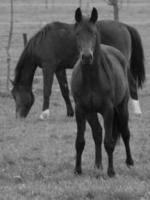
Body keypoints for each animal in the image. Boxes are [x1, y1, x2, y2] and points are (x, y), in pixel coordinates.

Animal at [11, 16, 145, 119]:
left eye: (16, 95)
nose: (18, 116)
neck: (42, 42)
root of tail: (124, 26)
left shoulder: (48, 67)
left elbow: (47, 90)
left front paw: (44, 114)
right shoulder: (59, 69)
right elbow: (64, 91)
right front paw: (70, 113)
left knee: (132, 84)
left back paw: (137, 112)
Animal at [71, 7, 134, 177]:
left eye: (93, 33)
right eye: (77, 33)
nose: (86, 57)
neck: (92, 79)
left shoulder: (108, 110)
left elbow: (109, 142)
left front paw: (111, 172)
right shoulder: (80, 110)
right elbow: (80, 141)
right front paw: (77, 170)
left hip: (122, 107)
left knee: (125, 133)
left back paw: (129, 162)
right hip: (91, 113)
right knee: (97, 133)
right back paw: (98, 164)